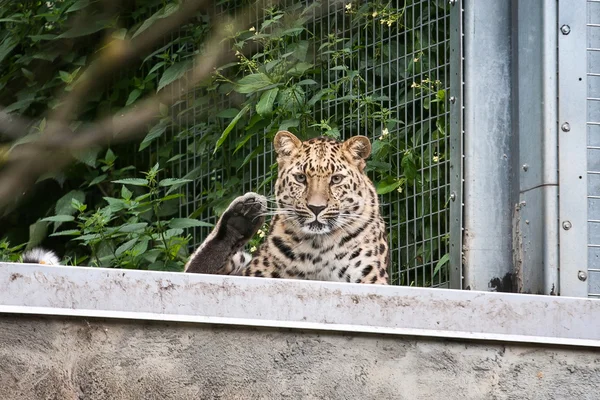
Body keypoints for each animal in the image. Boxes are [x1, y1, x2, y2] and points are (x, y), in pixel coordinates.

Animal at [186, 131, 390, 284]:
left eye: (336, 179)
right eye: (301, 178)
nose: (316, 208)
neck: (318, 246)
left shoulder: (370, 278)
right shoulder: (258, 274)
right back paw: (240, 219)